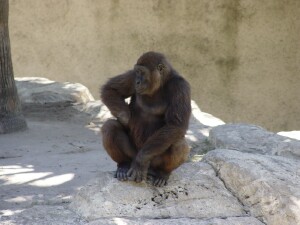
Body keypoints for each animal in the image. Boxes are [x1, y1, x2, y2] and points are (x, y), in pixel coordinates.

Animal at [100, 51, 190, 186]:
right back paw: (123, 165)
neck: (162, 82)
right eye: (137, 72)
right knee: (110, 127)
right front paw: (126, 117)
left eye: (142, 72)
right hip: (133, 155)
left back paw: (163, 173)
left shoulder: (180, 87)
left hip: (153, 163)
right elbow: (110, 89)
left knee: (178, 142)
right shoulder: (131, 75)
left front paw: (141, 161)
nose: (137, 82)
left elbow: (176, 125)